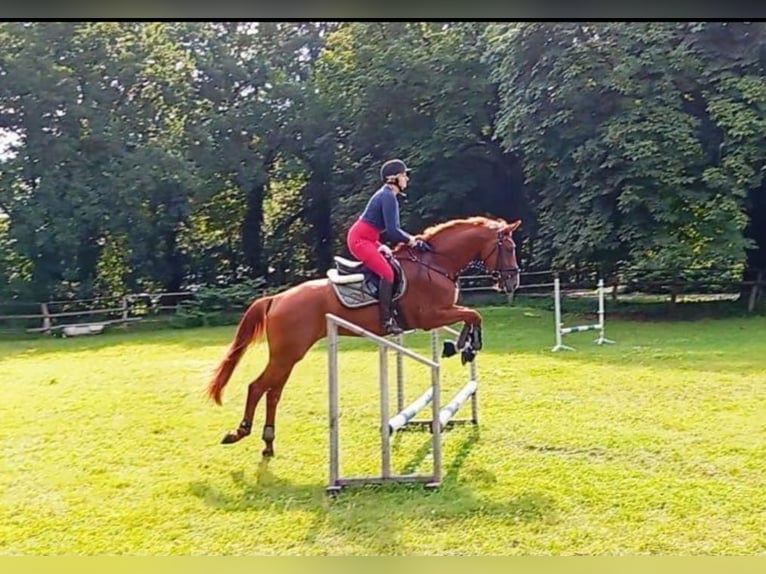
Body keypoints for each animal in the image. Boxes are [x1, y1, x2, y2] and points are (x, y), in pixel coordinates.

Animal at [208, 216, 520, 460]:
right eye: (509, 247)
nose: (513, 281)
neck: (435, 265)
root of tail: (277, 299)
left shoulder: (441, 314)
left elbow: (471, 316)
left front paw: (461, 346)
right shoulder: (431, 316)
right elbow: (474, 315)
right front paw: (466, 347)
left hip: (290, 355)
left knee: (273, 392)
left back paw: (268, 443)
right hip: (287, 353)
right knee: (258, 387)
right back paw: (239, 432)